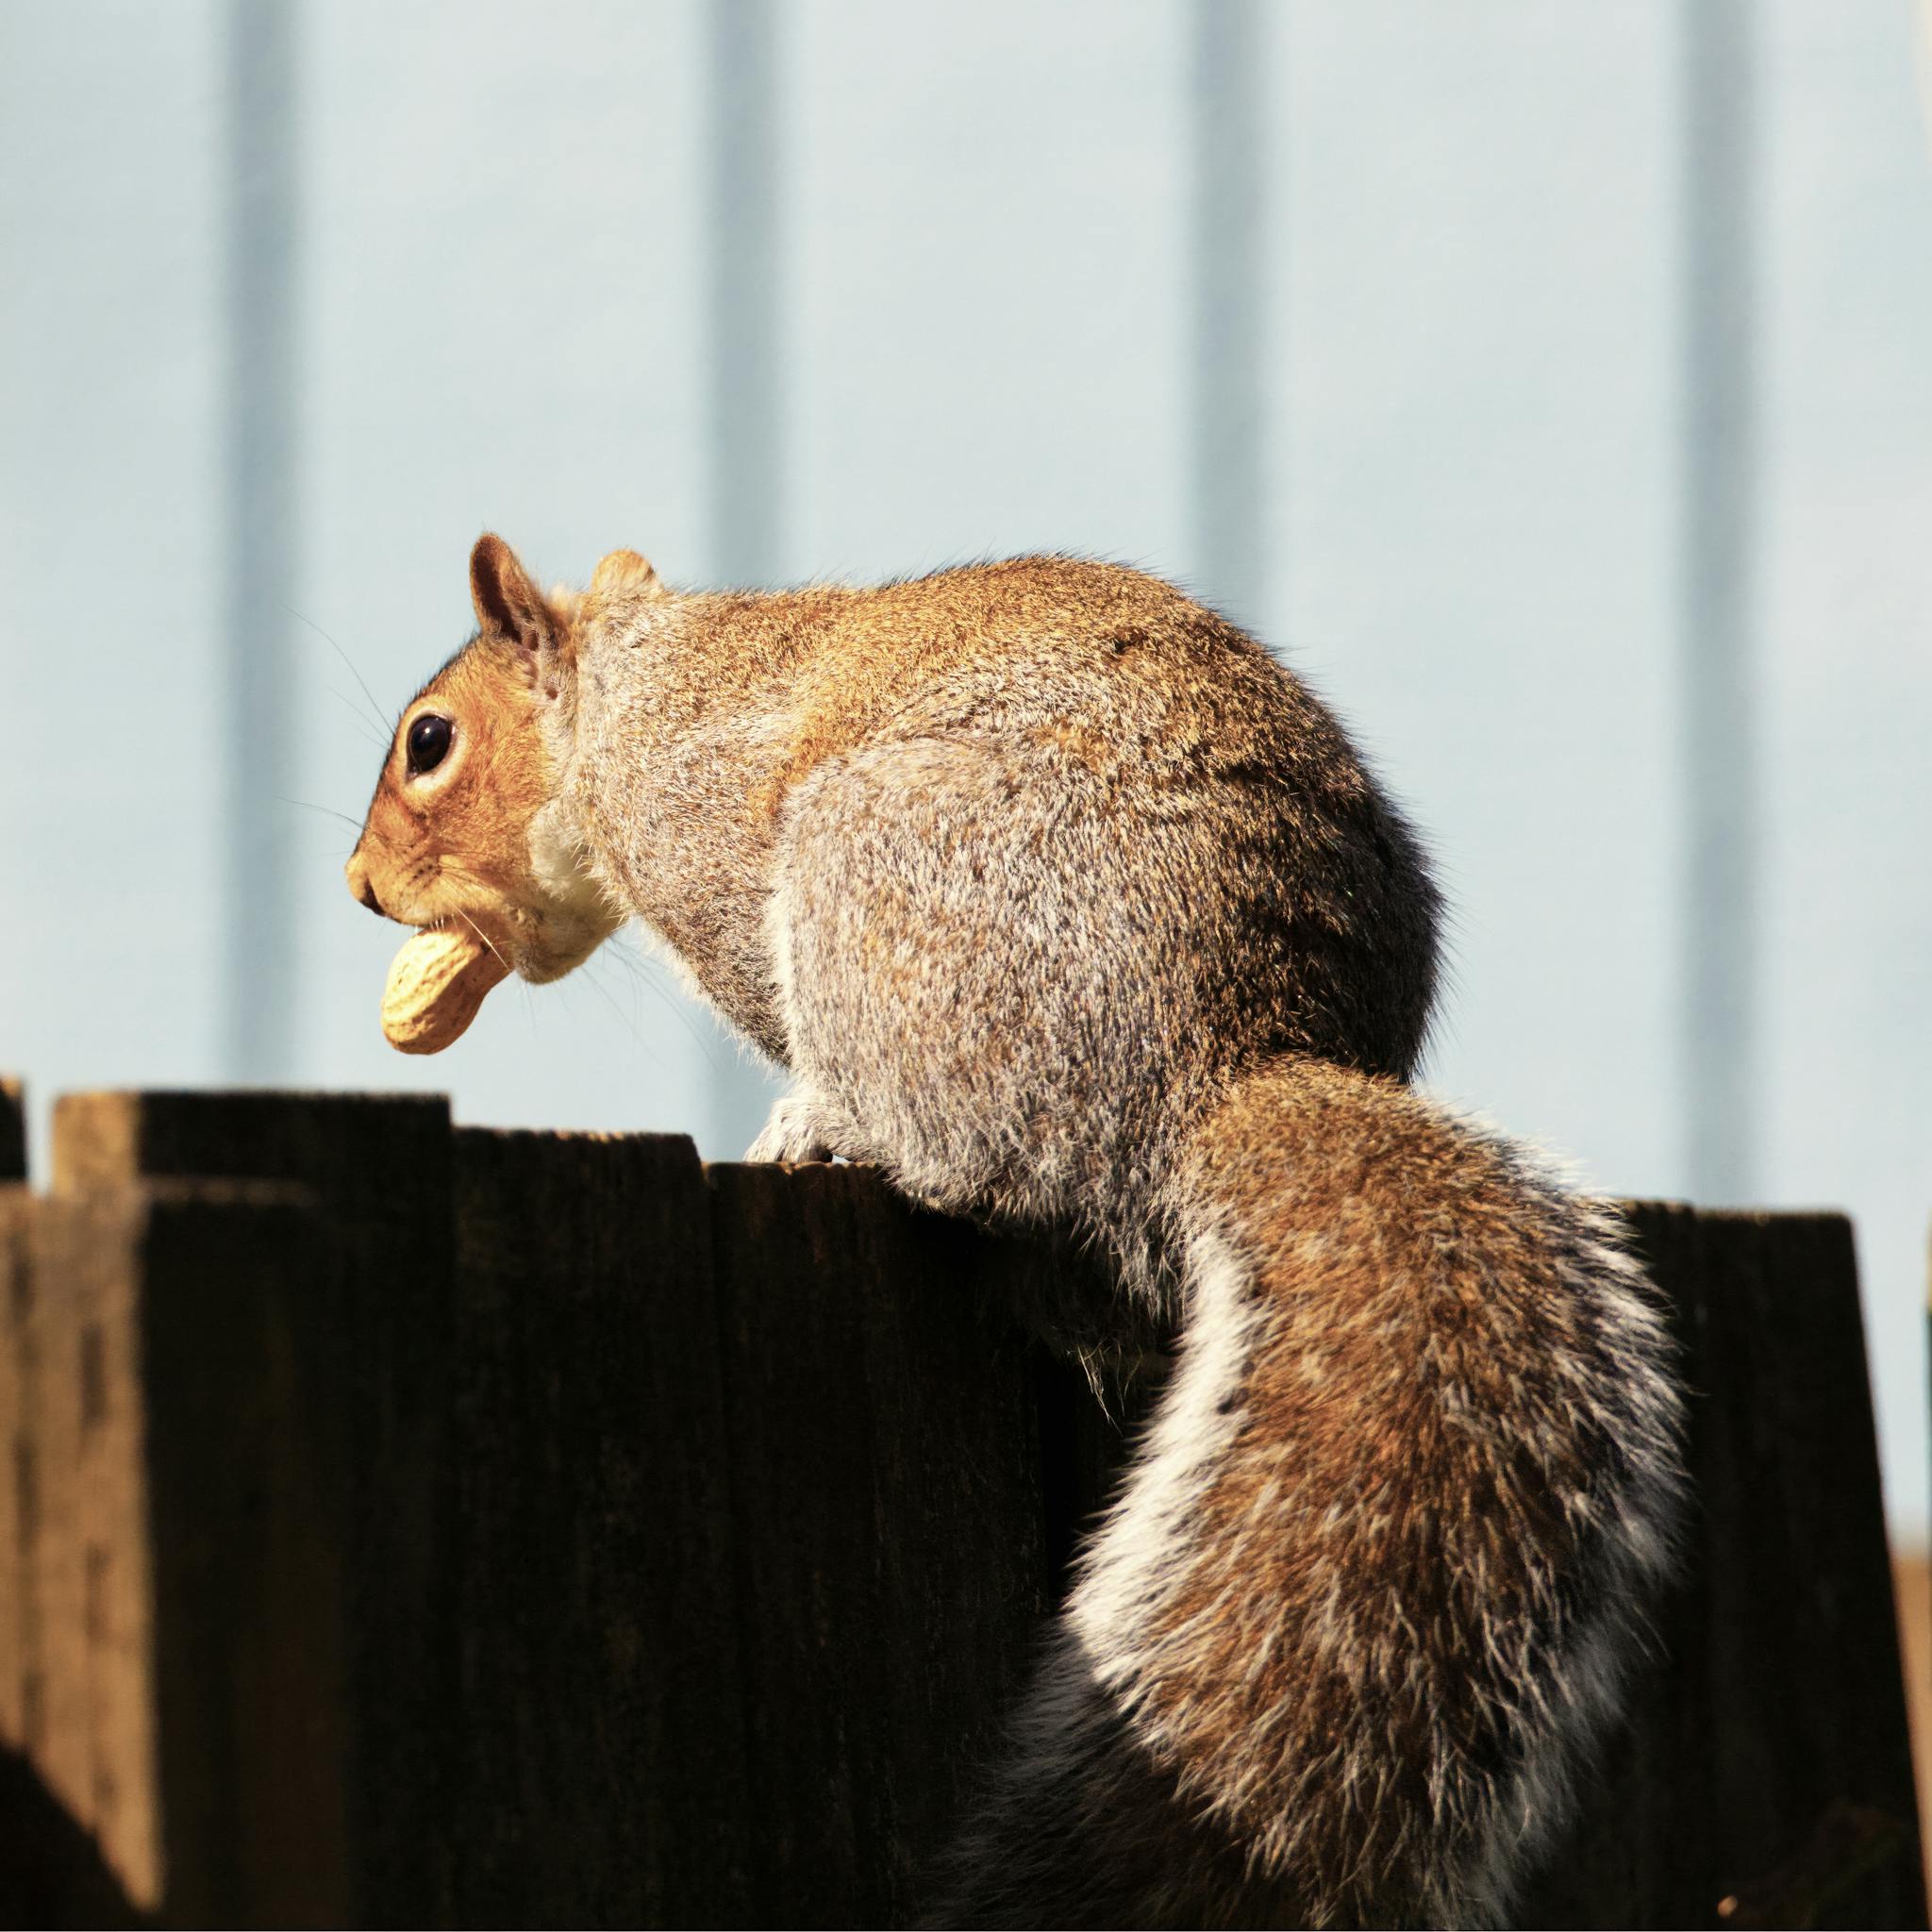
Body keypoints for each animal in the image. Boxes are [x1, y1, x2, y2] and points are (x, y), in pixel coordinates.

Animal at [346, 534, 1685, 1928]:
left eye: (429, 741)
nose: (364, 889)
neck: (626, 682)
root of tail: (1222, 1066)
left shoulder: (692, 823)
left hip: (883, 877)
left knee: (964, 1155)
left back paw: (836, 1128)